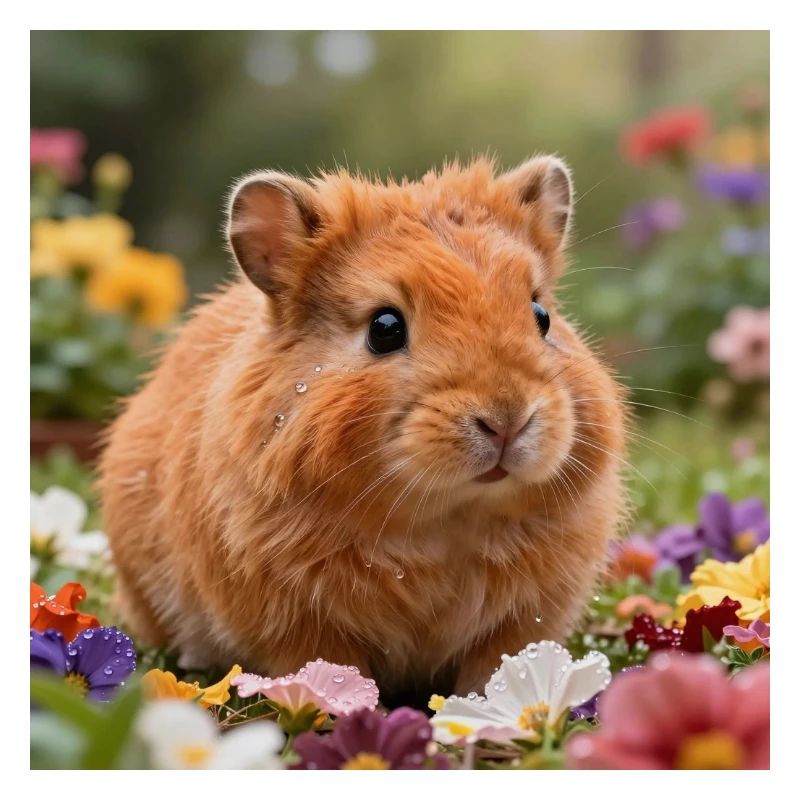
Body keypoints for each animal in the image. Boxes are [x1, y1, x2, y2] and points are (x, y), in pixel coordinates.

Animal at [99, 155, 627, 696]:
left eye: (541, 315)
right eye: (384, 328)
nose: (507, 419)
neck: (444, 519)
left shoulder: (520, 622)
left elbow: (496, 667)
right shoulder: (300, 625)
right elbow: (329, 664)